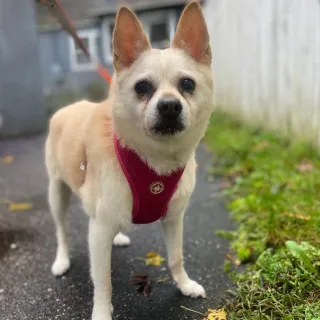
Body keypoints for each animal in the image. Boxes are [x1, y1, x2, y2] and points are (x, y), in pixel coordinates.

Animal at [45, 1, 214, 318]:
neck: (154, 159)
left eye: (187, 84)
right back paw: (61, 260)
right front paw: (102, 312)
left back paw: (119, 237)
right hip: (57, 194)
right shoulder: (98, 231)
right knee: (61, 231)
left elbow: (176, 257)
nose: (169, 106)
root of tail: (67, 108)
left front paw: (184, 285)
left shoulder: (173, 219)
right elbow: (103, 280)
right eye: (142, 88)